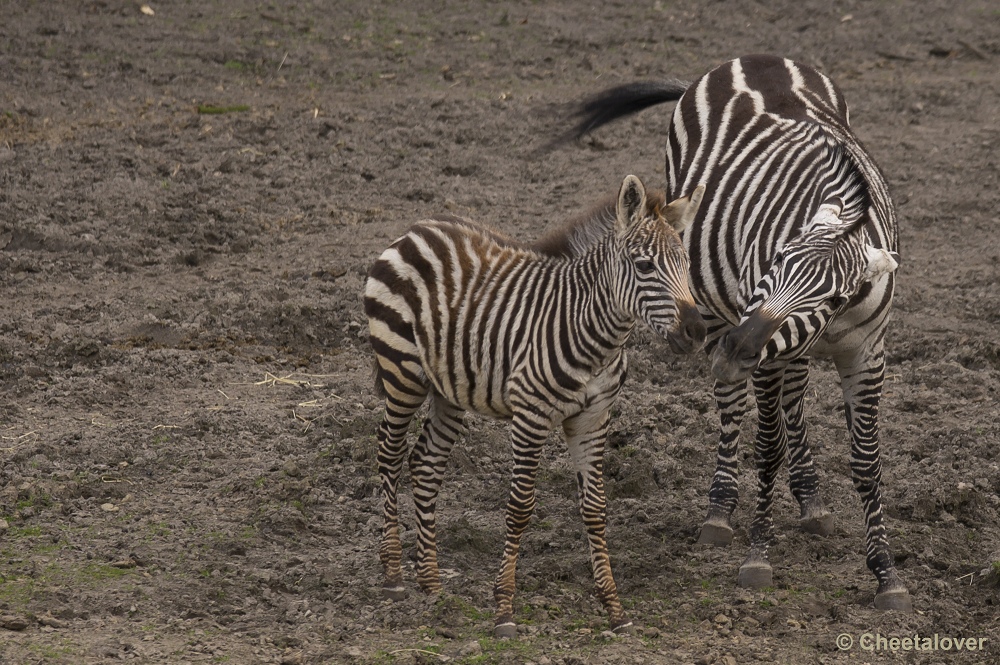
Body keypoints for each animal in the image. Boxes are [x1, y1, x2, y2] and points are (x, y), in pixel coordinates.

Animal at [364, 174, 708, 636]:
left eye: (687, 265)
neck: (595, 336)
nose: (695, 332)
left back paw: (432, 584)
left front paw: (614, 609)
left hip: (449, 389)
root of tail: (417, 228)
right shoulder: (530, 417)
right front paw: (504, 608)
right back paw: (394, 576)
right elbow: (520, 508)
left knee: (426, 465)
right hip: (401, 372)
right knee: (389, 454)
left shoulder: (593, 419)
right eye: (644, 266)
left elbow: (595, 508)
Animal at [564, 57, 916, 612]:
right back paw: (720, 509)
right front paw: (757, 557)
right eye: (777, 261)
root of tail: (750, 57)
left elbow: (866, 461)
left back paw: (811, 500)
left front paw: (886, 573)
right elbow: (767, 446)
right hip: (711, 306)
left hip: (786, 349)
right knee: (733, 405)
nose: (734, 351)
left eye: (835, 298)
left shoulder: (867, 353)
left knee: (793, 397)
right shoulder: (763, 349)